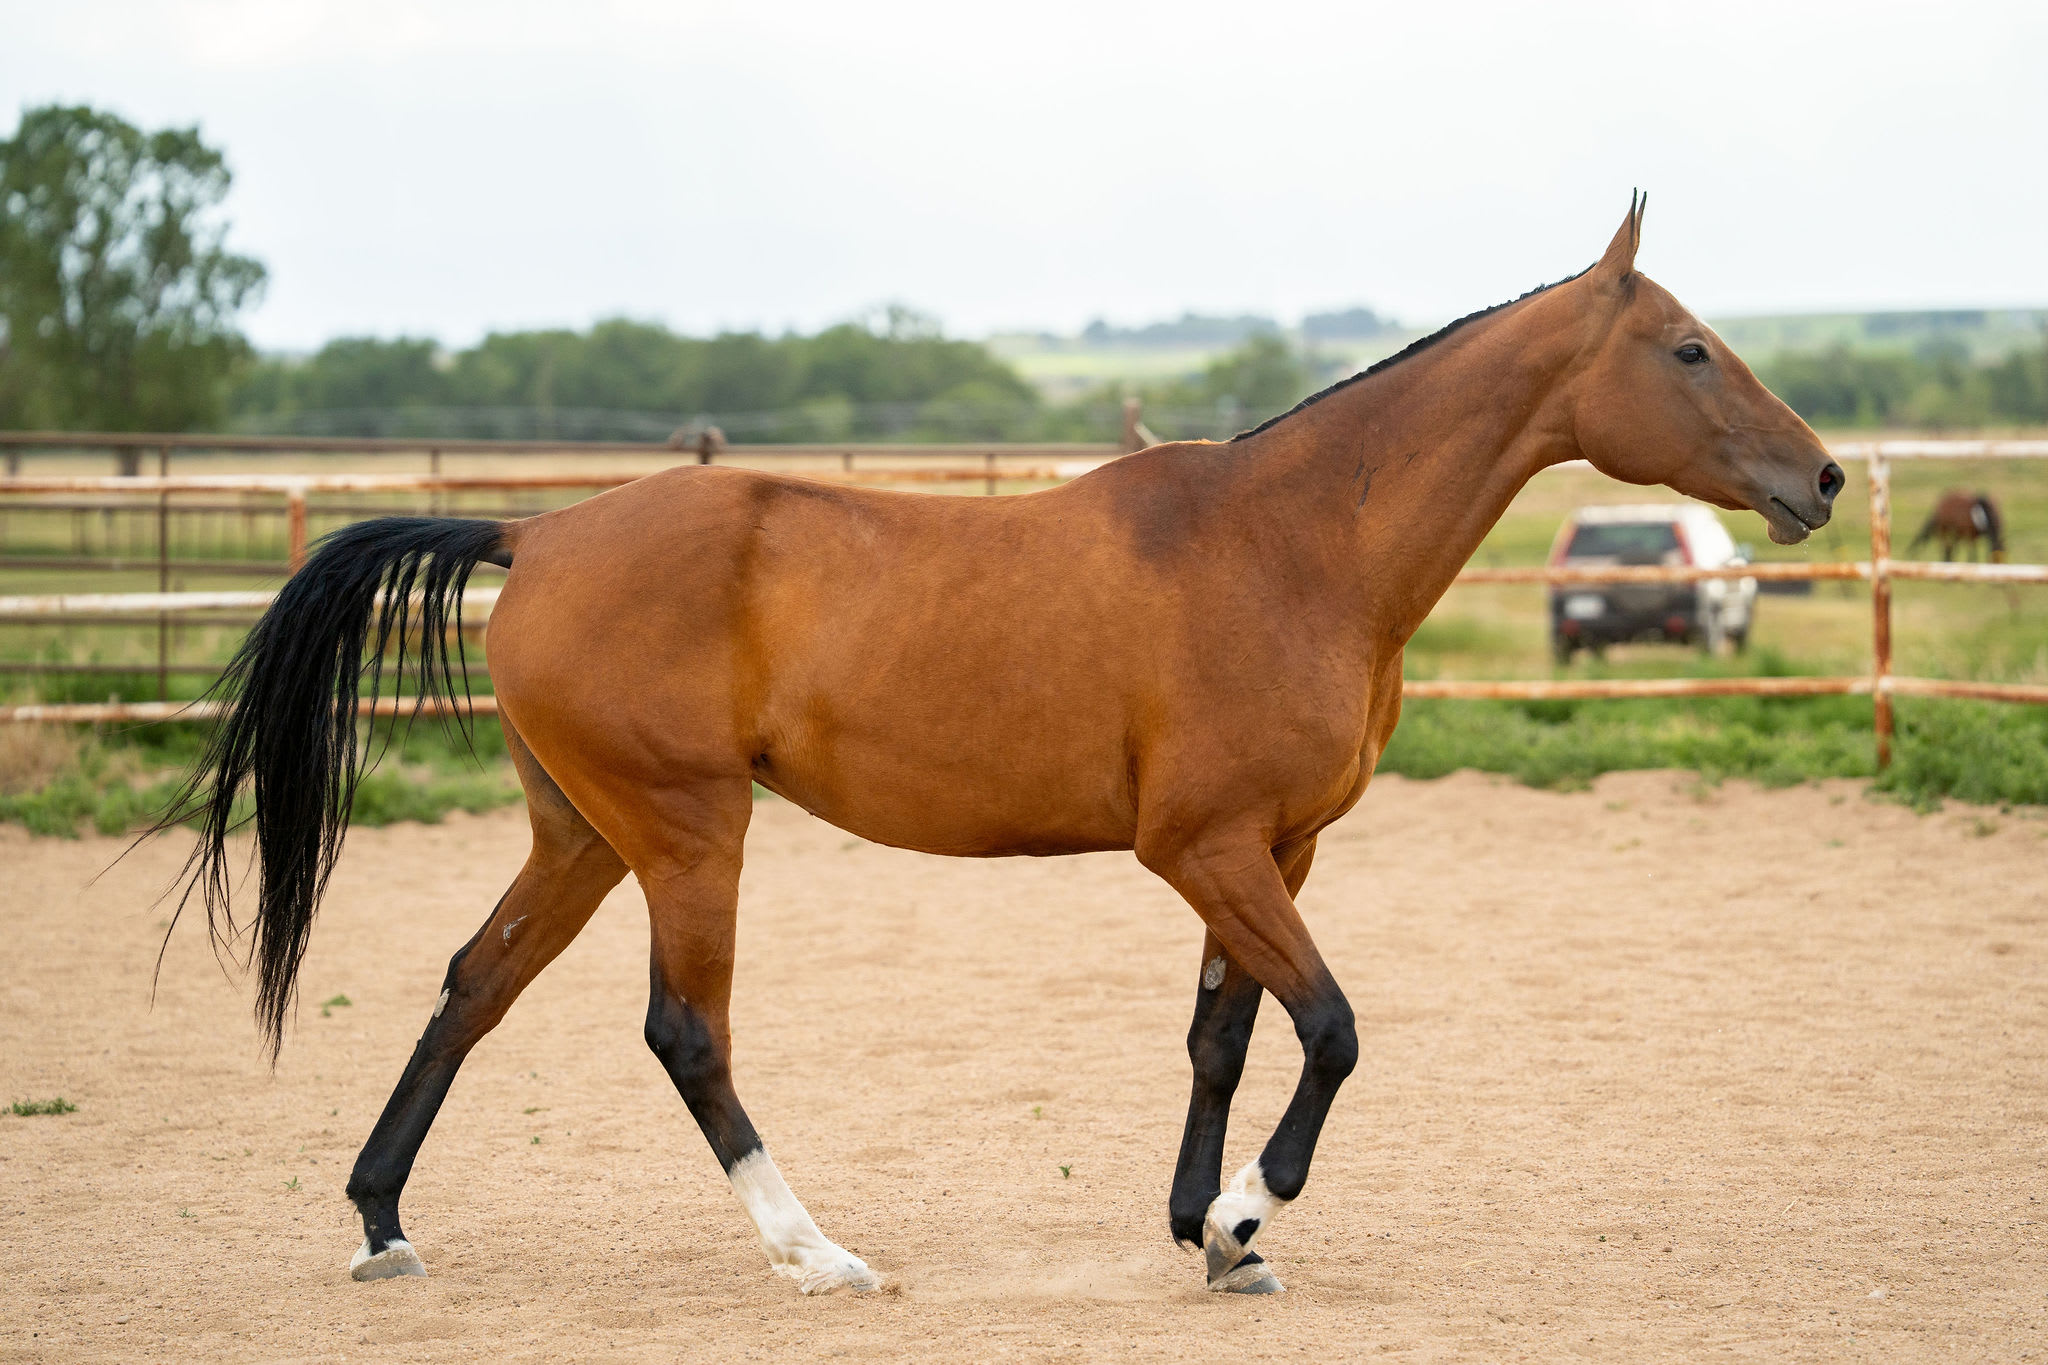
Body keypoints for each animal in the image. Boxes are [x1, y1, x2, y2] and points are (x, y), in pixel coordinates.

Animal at [154, 195, 1842, 1298]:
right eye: (1690, 350)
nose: (1821, 477)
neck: (1295, 547)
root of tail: (539, 531)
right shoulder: (1205, 849)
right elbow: (1335, 1028)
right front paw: (1246, 1216)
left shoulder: (1269, 852)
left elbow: (1227, 1037)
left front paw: (1203, 1232)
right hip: (690, 835)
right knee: (685, 1033)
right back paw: (815, 1253)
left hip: (581, 836)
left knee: (473, 988)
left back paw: (382, 1224)